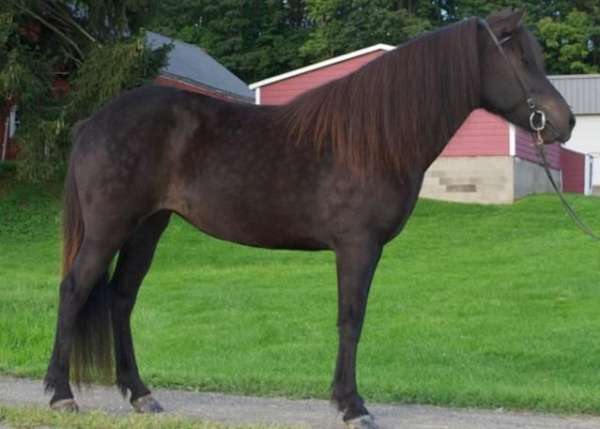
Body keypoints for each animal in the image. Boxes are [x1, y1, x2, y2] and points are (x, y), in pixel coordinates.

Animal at [44, 10, 576, 428]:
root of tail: (93, 122)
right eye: (523, 60)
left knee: (121, 299)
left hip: (148, 227)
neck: (374, 141)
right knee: (74, 290)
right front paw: (353, 406)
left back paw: (141, 395)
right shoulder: (358, 245)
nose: (565, 122)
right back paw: (60, 394)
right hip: (110, 227)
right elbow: (351, 319)